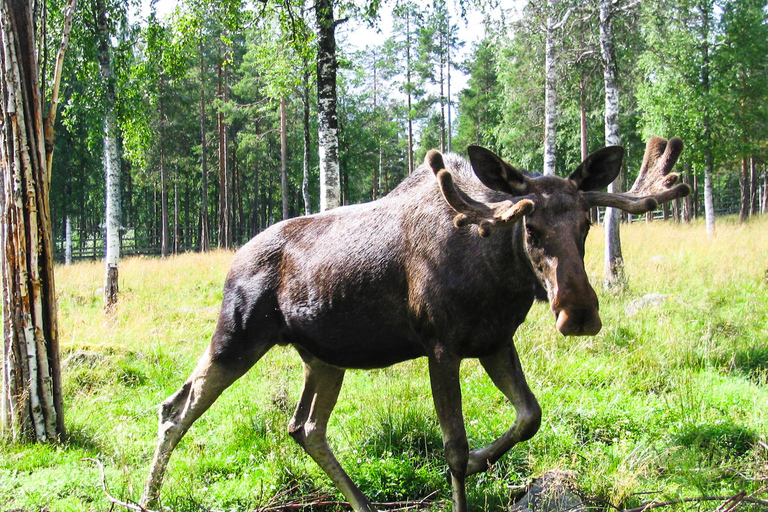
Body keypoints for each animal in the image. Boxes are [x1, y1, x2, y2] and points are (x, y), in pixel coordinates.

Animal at [141, 136, 688, 512]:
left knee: (305, 426)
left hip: (324, 356)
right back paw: (148, 497)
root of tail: (234, 256)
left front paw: (485, 459)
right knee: (176, 407)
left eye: (586, 224)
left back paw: (363, 503)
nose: (579, 313)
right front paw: (469, 468)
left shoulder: (494, 342)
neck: (497, 276)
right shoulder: (441, 345)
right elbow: (454, 449)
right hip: (237, 334)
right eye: (530, 228)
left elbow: (529, 416)